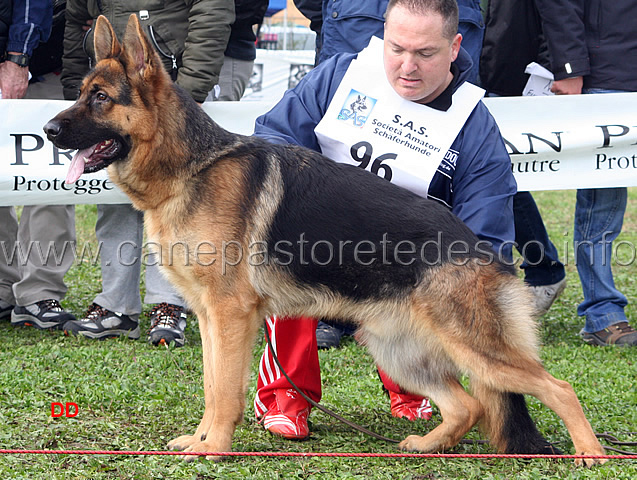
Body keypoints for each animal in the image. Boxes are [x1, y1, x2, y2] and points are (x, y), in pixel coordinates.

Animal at [43, 15, 600, 464]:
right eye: (82, 92)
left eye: (100, 98)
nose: (48, 129)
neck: (190, 166)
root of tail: (484, 248)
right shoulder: (210, 318)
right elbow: (210, 383)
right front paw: (200, 439)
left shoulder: (230, 316)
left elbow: (224, 391)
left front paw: (214, 448)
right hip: (396, 349)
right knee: (468, 404)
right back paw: (428, 445)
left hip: (475, 349)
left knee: (559, 388)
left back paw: (592, 454)